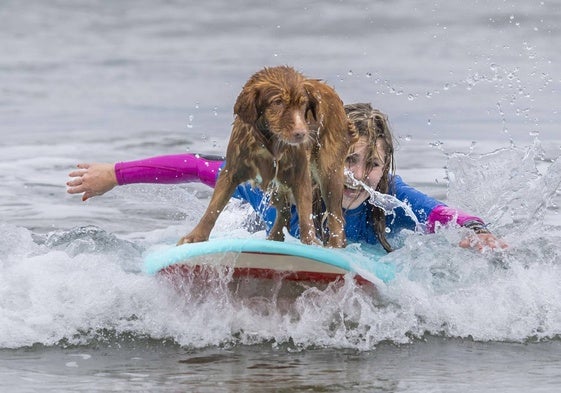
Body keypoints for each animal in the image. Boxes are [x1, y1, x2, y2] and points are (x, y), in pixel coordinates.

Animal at [177, 66, 356, 247]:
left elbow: (305, 213)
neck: (270, 143)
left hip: (328, 172)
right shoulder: (232, 171)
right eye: (278, 102)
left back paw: (334, 244)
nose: (301, 134)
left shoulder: (300, 173)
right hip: (277, 185)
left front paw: (310, 241)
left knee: (335, 216)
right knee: (284, 212)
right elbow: (214, 207)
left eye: (303, 104)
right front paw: (196, 236)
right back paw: (274, 238)